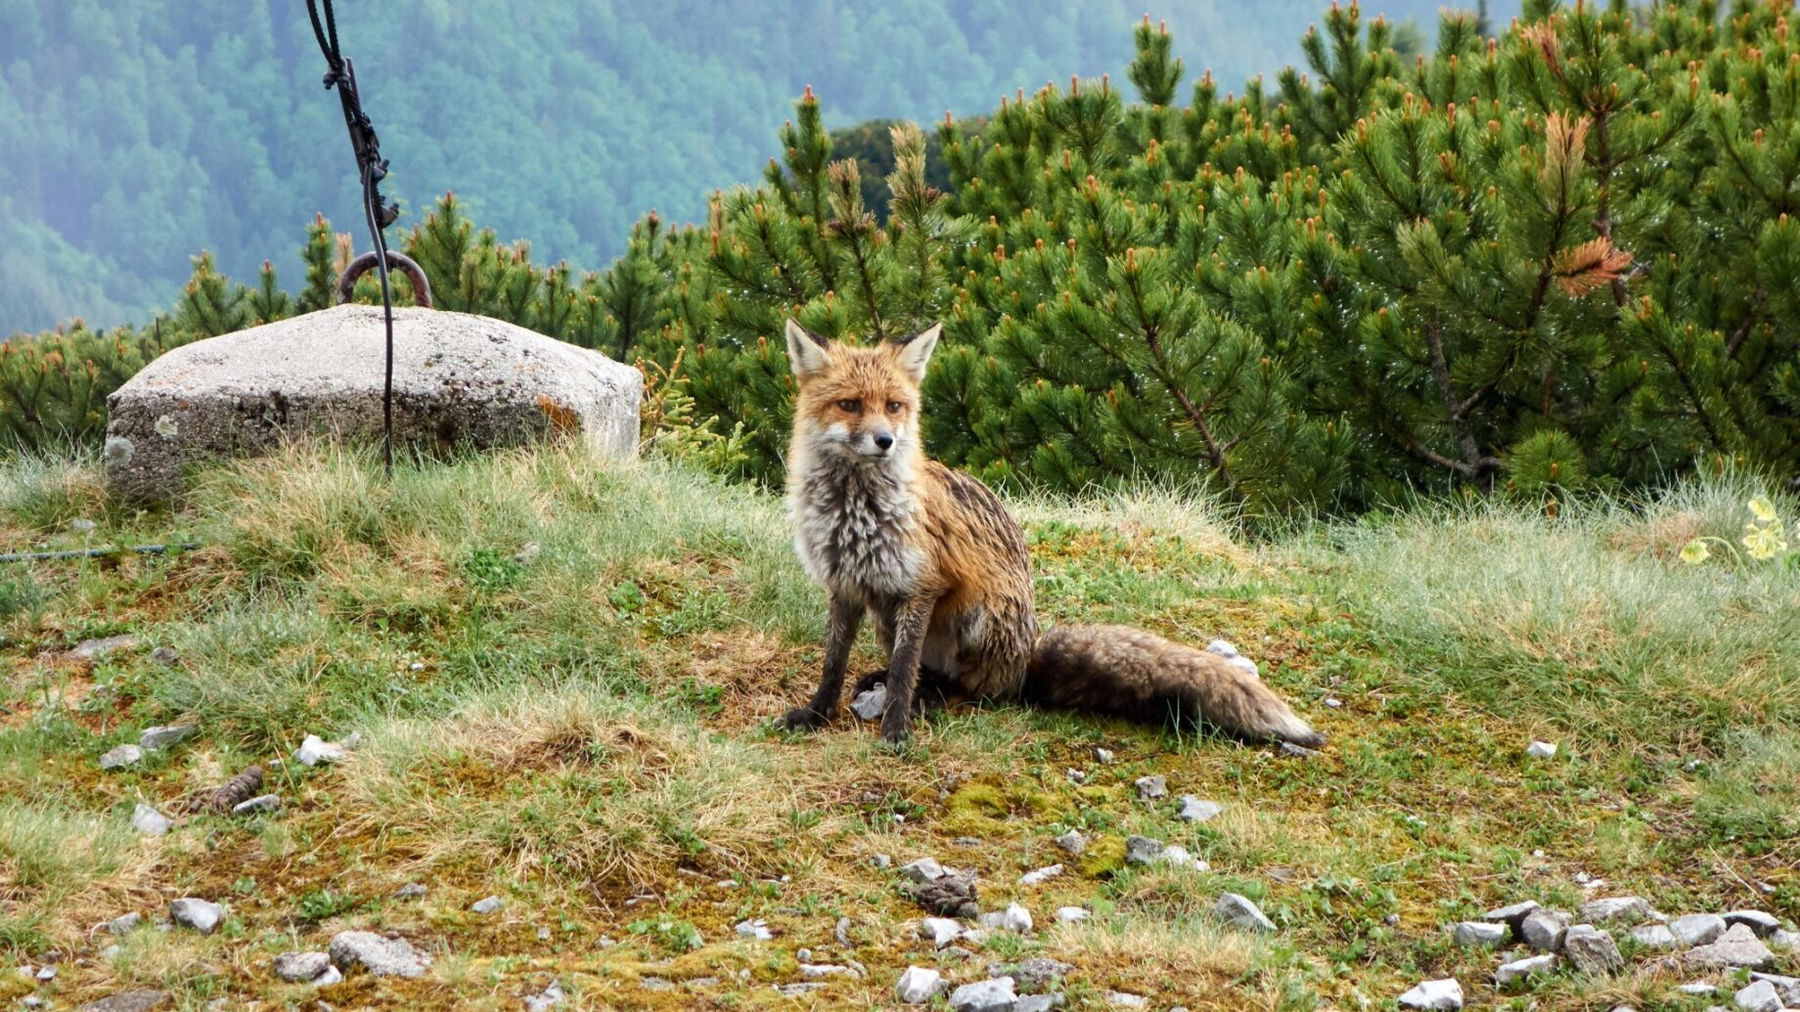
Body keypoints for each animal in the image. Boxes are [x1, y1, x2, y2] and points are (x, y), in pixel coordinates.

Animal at [778, 318, 1324, 750]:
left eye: (893, 405)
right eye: (850, 404)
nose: (886, 441)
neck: (855, 511)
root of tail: (1027, 659)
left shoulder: (922, 585)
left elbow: (902, 671)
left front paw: (895, 731)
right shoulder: (845, 587)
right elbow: (834, 665)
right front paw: (817, 714)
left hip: (978, 617)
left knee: (974, 688)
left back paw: (935, 696)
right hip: (885, 617)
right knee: (924, 670)